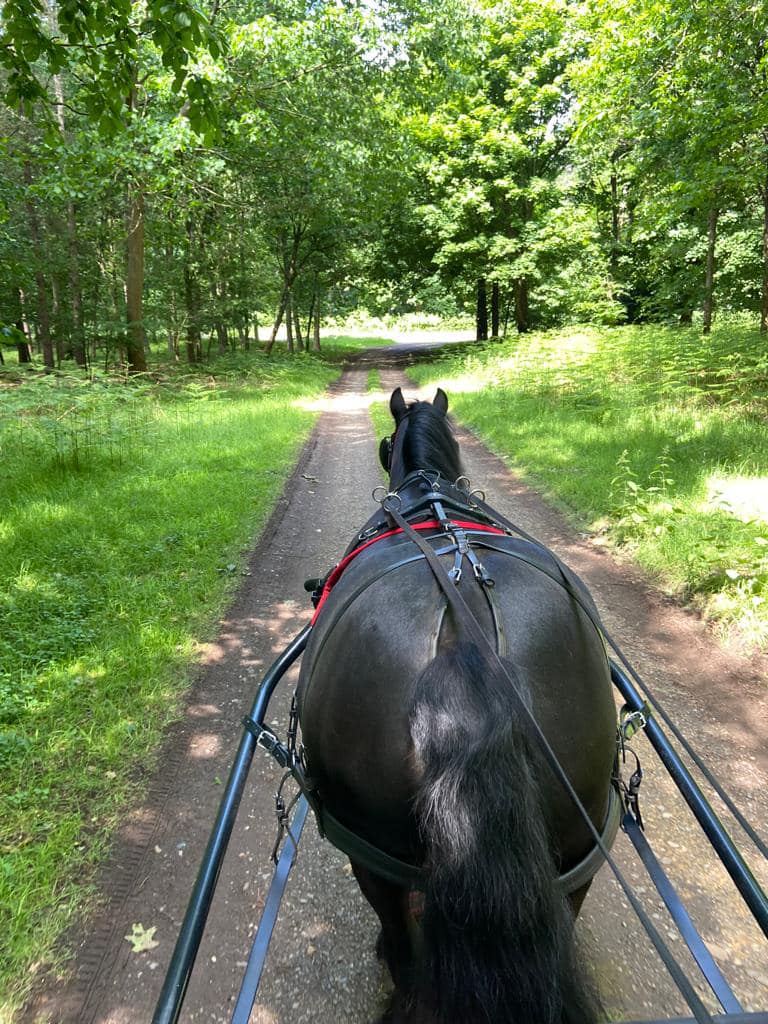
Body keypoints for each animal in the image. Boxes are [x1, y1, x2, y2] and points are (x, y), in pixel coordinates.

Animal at [296, 387, 618, 1019]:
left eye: (386, 443)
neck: (430, 492)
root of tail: (469, 643)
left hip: (369, 853)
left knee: (400, 946)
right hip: (577, 852)